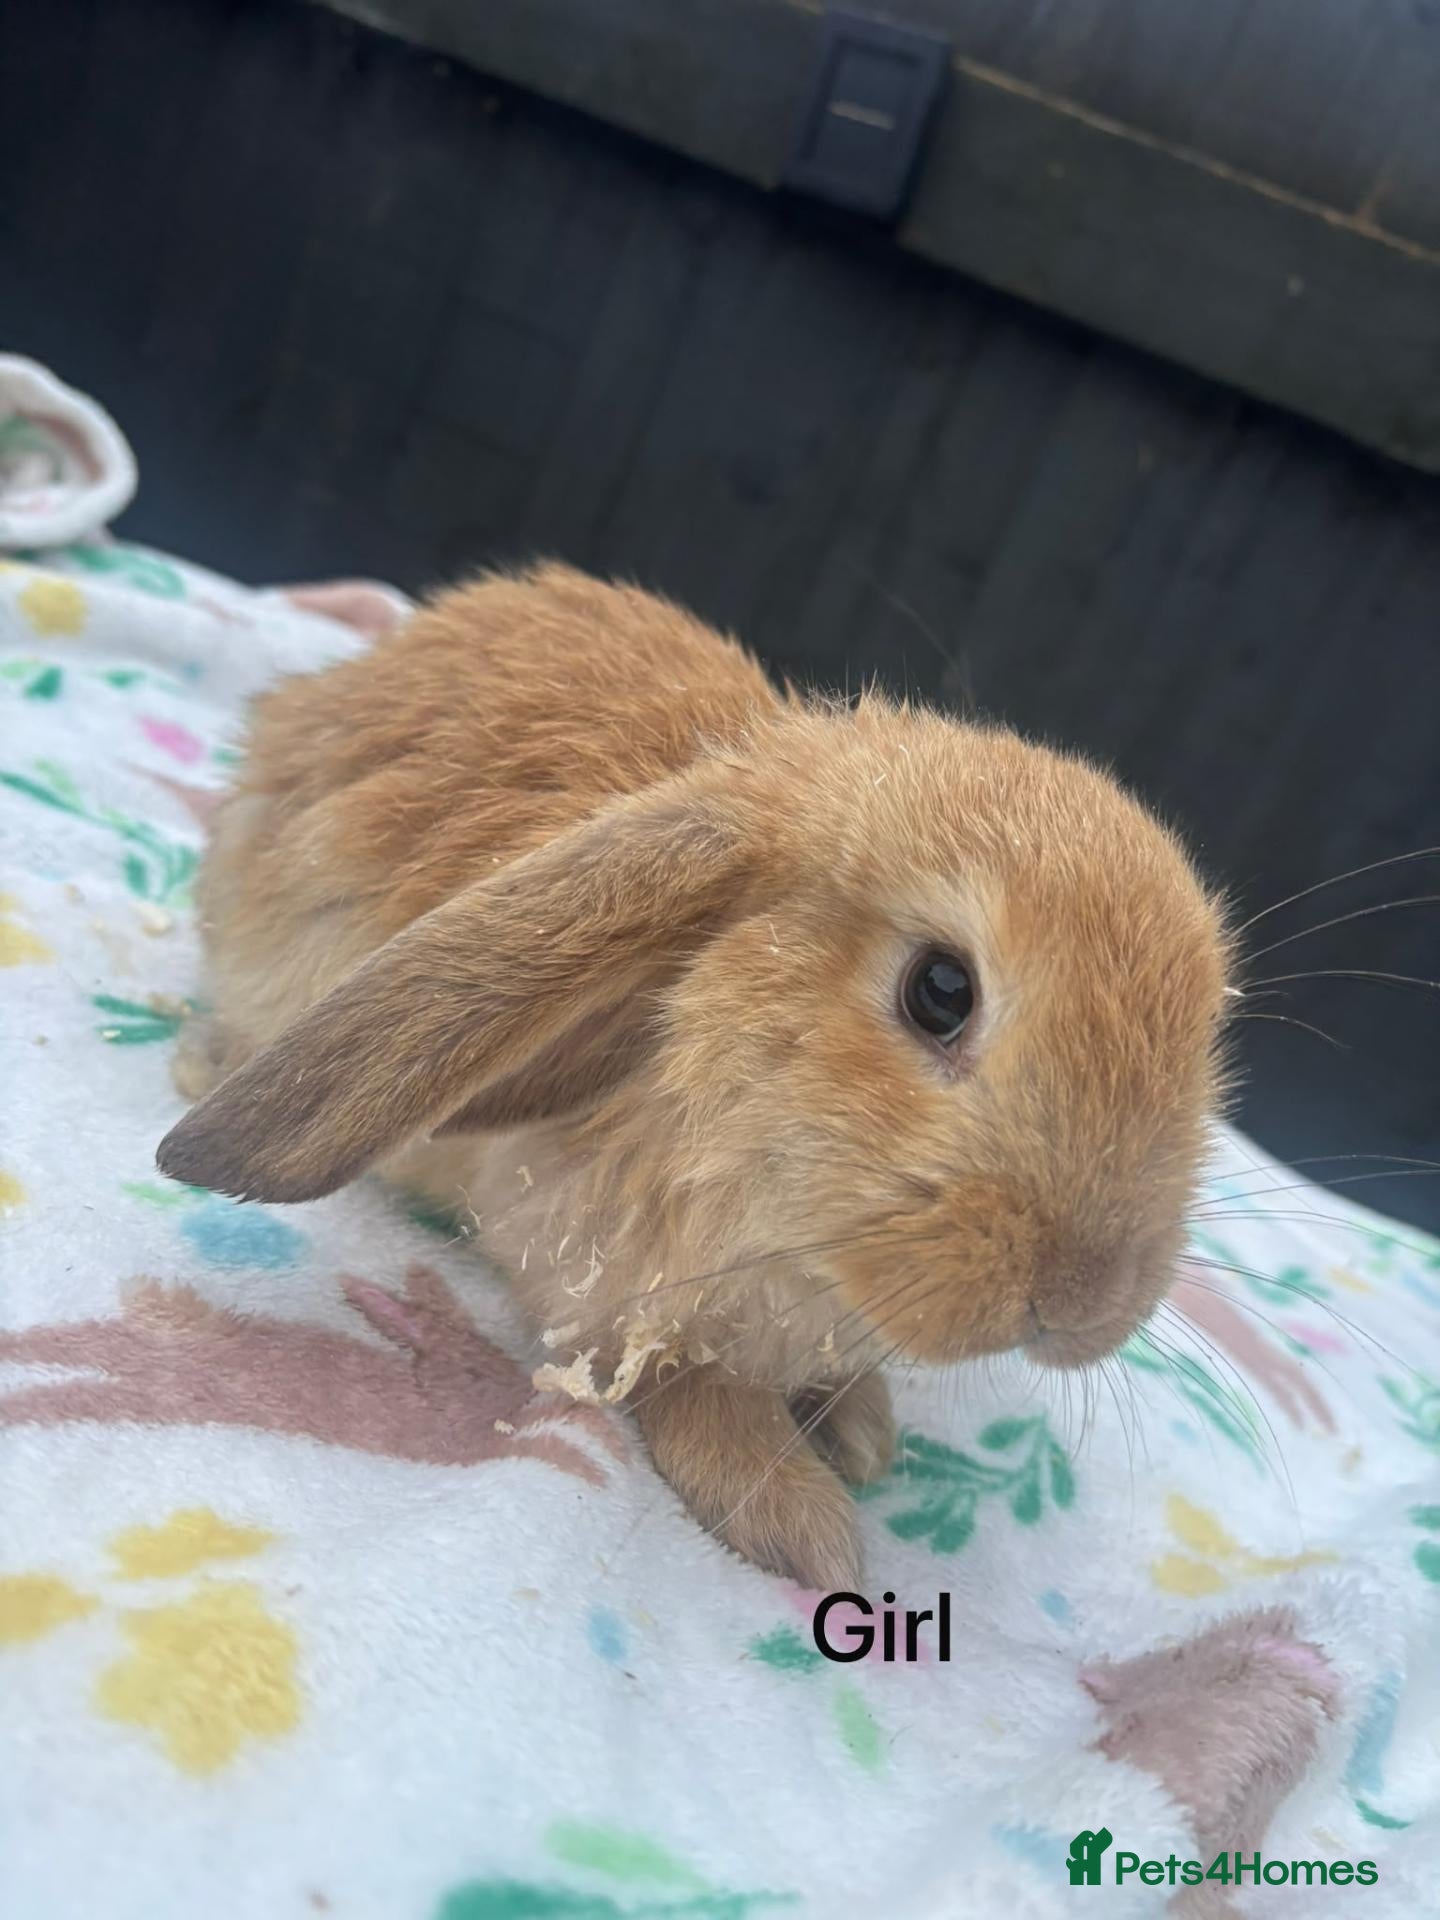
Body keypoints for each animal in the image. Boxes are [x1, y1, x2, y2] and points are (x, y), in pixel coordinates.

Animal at [158, 562, 1231, 1588]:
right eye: (940, 990)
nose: (1085, 1301)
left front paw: (862, 1426)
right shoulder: (606, 1283)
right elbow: (680, 1379)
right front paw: (797, 1517)